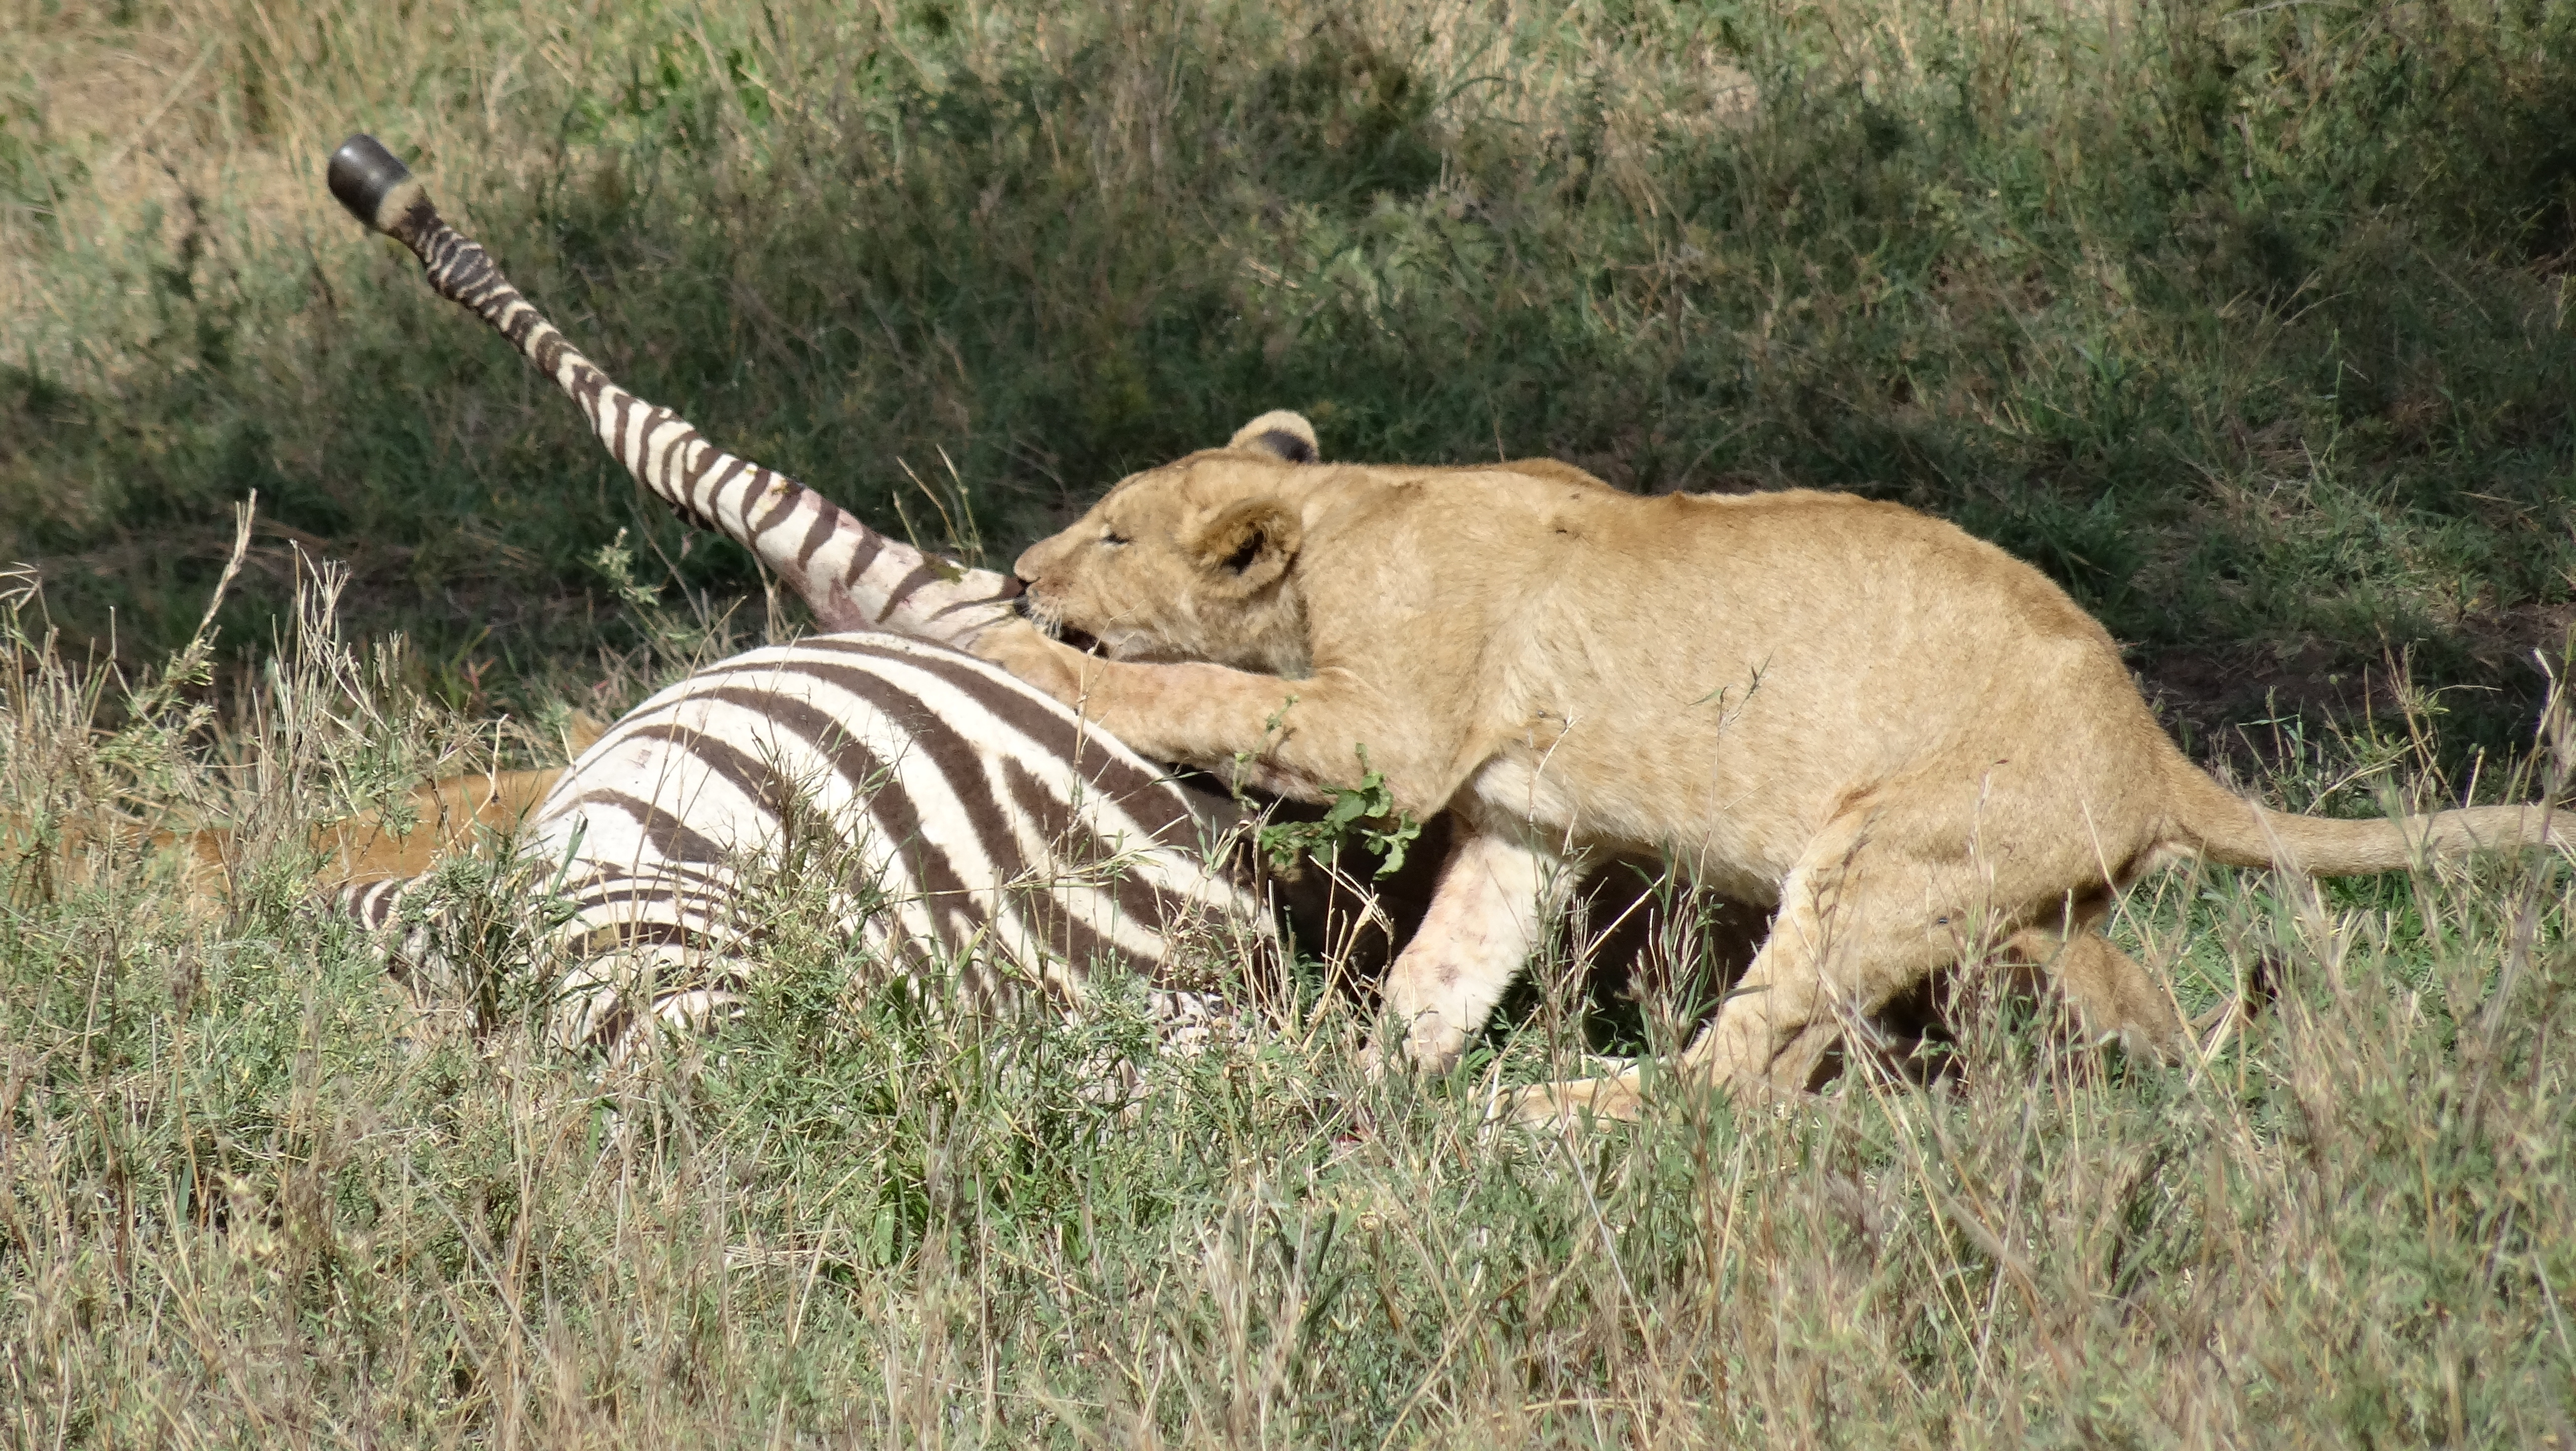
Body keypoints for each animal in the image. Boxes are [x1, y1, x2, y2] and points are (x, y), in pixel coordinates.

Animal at [974, 410, 2565, 1119]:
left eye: (1112, 532)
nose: (1018, 569)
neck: (1346, 509)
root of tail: (2155, 750)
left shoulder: (1395, 727)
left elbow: (1198, 687)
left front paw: (1032, 662)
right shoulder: (1519, 831)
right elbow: (1447, 968)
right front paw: (1361, 1087)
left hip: (1878, 859)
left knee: (1726, 1079)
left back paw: (1553, 1111)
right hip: (2032, 915)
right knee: (2116, 1009)